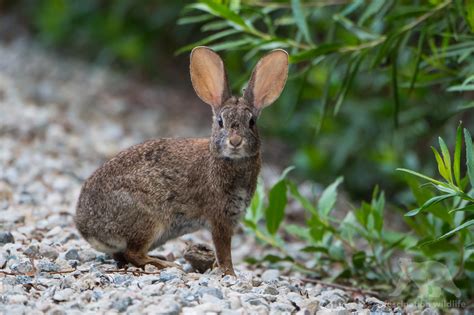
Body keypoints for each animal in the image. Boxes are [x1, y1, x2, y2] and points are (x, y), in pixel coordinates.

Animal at [74, 47, 288, 276]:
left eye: (252, 122)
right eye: (220, 122)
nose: (235, 141)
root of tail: (87, 228)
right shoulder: (220, 219)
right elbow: (224, 251)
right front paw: (230, 273)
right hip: (149, 220)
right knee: (134, 254)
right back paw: (166, 264)